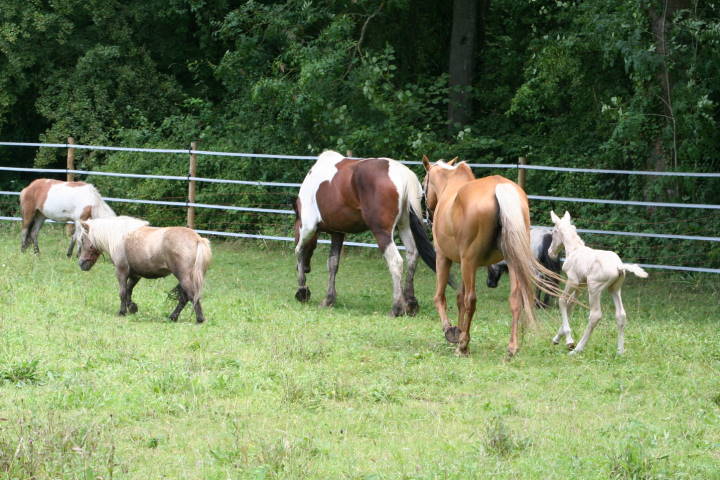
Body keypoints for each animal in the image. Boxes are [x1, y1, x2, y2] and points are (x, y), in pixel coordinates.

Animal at [77, 216, 212, 323]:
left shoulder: (121, 271)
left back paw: (198, 319)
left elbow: (122, 292)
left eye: (83, 239)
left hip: (184, 277)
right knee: (185, 298)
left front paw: (122, 312)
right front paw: (132, 308)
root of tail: (198, 239)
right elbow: (128, 291)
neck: (119, 237)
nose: (81, 263)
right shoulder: (135, 275)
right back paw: (173, 317)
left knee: (192, 296)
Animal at [293, 150, 438, 316]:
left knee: (395, 262)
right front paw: (328, 299)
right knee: (412, 255)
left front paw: (302, 291)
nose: (306, 269)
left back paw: (396, 308)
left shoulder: (308, 227)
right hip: (404, 227)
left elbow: (299, 251)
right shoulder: (338, 232)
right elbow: (332, 264)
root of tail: (403, 176)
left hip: (382, 233)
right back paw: (410, 304)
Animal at [422, 155, 559, 357]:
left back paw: (462, 346)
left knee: (471, 300)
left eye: (424, 183)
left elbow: (441, 297)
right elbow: (459, 298)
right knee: (515, 300)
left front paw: (452, 332)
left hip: (469, 263)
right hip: (511, 262)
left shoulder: (444, 258)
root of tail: (500, 187)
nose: (428, 217)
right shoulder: (464, 264)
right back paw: (511, 348)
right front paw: (460, 334)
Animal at [548, 210, 648, 355]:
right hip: (614, 289)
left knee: (595, 315)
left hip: (594, 289)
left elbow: (562, 301)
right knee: (621, 315)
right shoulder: (580, 286)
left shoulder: (572, 281)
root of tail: (619, 266)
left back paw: (577, 349)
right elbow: (570, 304)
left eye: (553, 232)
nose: (550, 252)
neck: (574, 250)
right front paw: (557, 338)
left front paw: (569, 341)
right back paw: (620, 351)